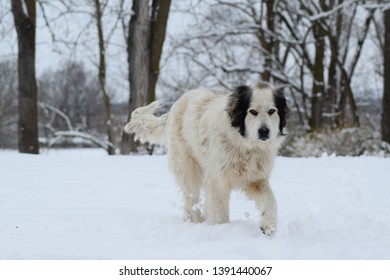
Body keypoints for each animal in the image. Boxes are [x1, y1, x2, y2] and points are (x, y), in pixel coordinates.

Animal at [123, 82, 288, 235]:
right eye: (253, 111)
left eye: (272, 111)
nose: (264, 131)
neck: (245, 145)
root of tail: (175, 106)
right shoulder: (218, 180)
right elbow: (220, 212)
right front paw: (222, 230)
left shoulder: (255, 179)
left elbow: (270, 200)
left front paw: (269, 225)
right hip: (188, 167)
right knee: (191, 197)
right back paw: (197, 221)